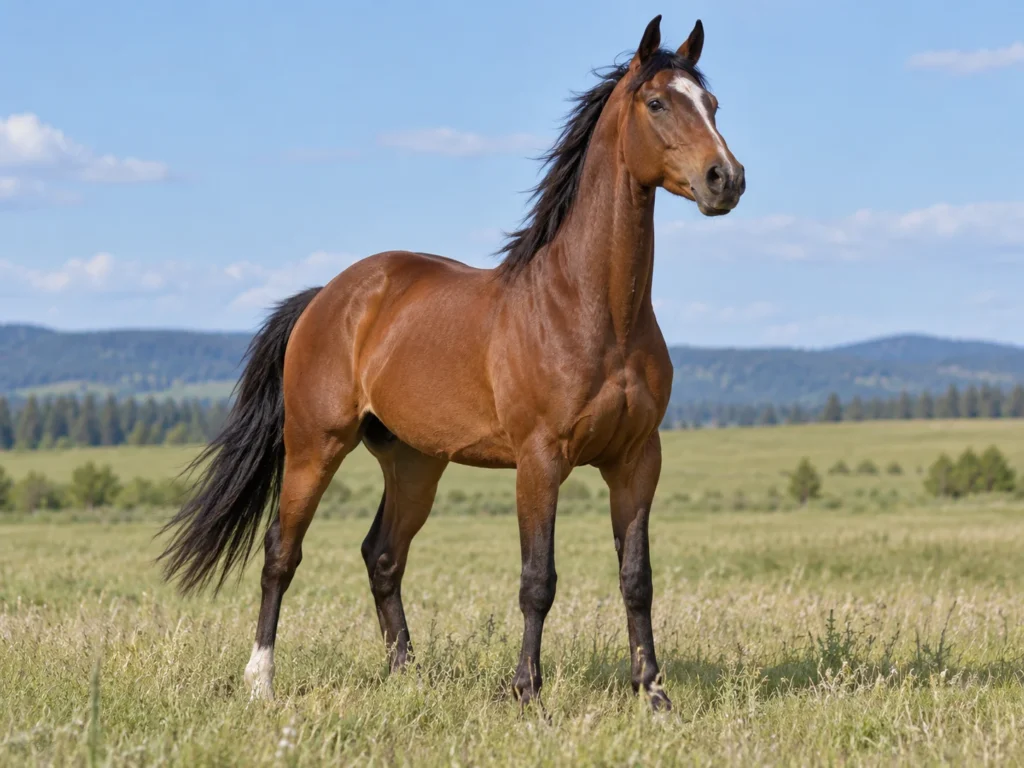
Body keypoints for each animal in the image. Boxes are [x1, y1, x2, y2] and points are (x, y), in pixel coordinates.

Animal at [159, 14, 744, 712]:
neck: (592, 310)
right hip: (314, 445)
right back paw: (261, 681)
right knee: (282, 552)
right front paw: (526, 694)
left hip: (415, 462)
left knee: (382, 556)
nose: (726, 179)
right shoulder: (540, 461)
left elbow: (637, 579)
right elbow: (537, 580)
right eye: (657, 102)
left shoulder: (636, 461)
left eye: (712, 103)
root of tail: (328, 297)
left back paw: (406, 676)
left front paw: (653, 696)